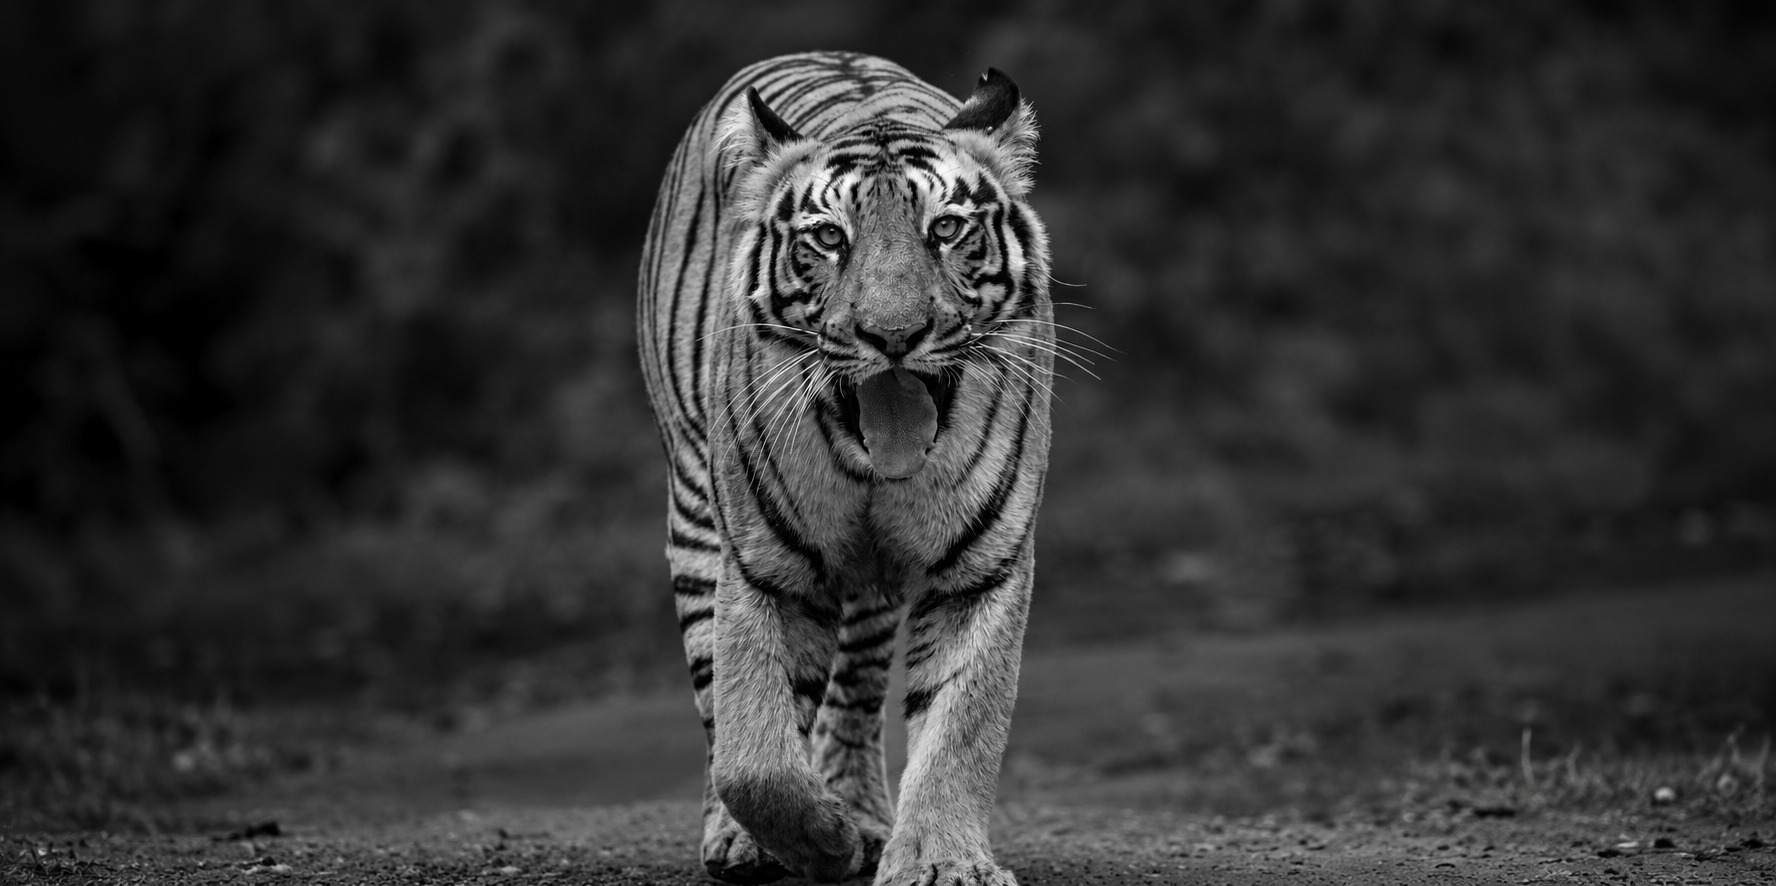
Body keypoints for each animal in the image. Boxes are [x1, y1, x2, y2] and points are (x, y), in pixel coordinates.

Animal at [636, 51, 1053, 886]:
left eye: (945, 229)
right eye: (829, 238)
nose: (893, 335)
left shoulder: (982, 568)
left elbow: (960, 724)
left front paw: (939, 860)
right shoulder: (764, 566)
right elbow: (753, 752)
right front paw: (812, 839)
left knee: (855, 695)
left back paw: (860, 810)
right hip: (695, 515)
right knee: (717, 704)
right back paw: (744, 838)